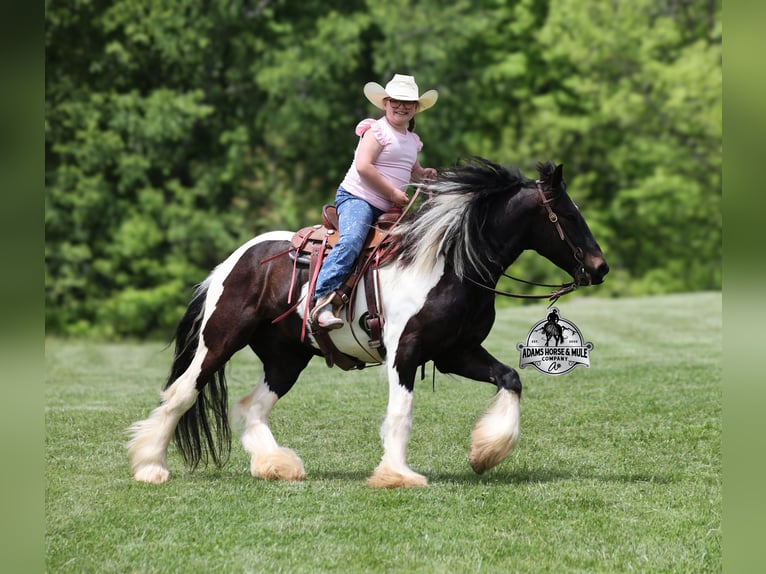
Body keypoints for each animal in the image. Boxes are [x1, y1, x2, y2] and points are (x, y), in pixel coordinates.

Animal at [127, 157, 609, 488]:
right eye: (568, 215)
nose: (600, 267)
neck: (448, 264)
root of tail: (234, 261)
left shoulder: (456, 352)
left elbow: (510, 378)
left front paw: (485, 454)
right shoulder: (405, 353)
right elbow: (401, 412)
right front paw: (397, 475)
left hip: (286, 357)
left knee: (252, 406)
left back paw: (275, 465)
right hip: (221, 339)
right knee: (182, 393)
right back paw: (151, 467)